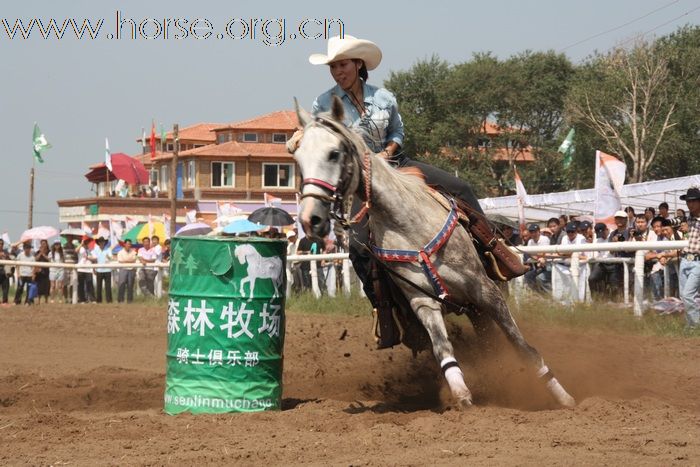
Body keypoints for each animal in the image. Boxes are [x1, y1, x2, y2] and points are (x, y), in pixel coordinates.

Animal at [292, 98, 576, 410]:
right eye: (299, 160)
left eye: (333, 153)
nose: (310, 219)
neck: (407, 223)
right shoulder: (422, 301)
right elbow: (443, 349)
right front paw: (462, 395)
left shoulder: (485, 290)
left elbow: (521, 346)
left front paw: (562, 396)